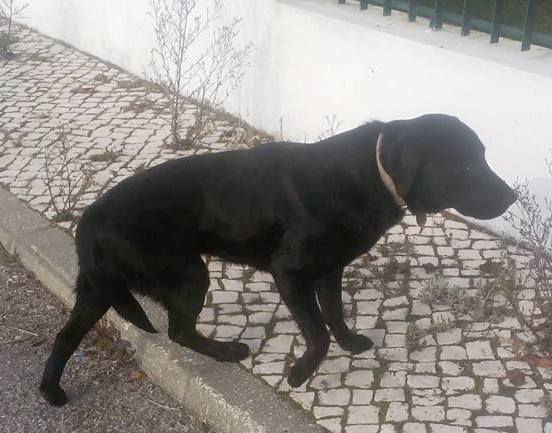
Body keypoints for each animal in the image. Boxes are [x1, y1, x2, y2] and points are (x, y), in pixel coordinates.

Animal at [40, 114, 516, 406]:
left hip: (100, 291)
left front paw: (349, 343)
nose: (512, 196)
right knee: (178, 330)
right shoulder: (290, 274)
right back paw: (226, 351)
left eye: (483, 158)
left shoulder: (330, 271)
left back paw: (50, 391)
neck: (373, 171)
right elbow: (318, 334)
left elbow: (335, 317)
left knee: (66, 337)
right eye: (467, 167)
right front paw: (300, 374)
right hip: (189, 274)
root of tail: (89, 220)